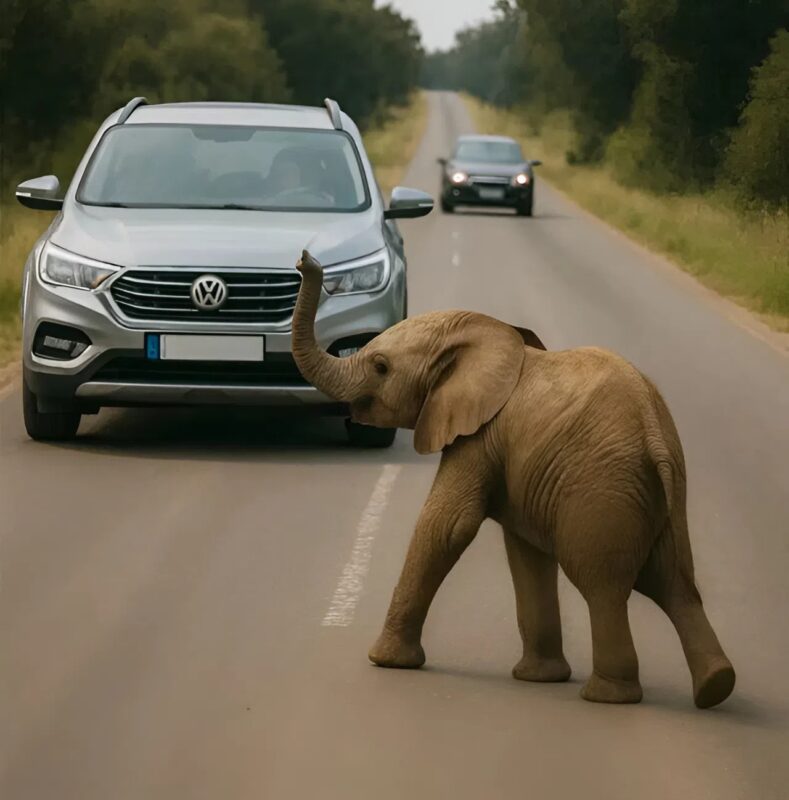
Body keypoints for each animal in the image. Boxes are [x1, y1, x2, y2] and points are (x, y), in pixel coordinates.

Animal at [291, 250, 736, 708]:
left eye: (380, 366)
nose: (306, 260)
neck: (488, 332)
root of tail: (655, 434)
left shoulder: (479, 435)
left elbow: (448, 526)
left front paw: (385, 662)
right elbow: (526, 553)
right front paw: (539, 678)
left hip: (602, 490)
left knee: (603, 586)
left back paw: (608, 696)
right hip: (663, 495)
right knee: (676, 584)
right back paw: (715, 688)